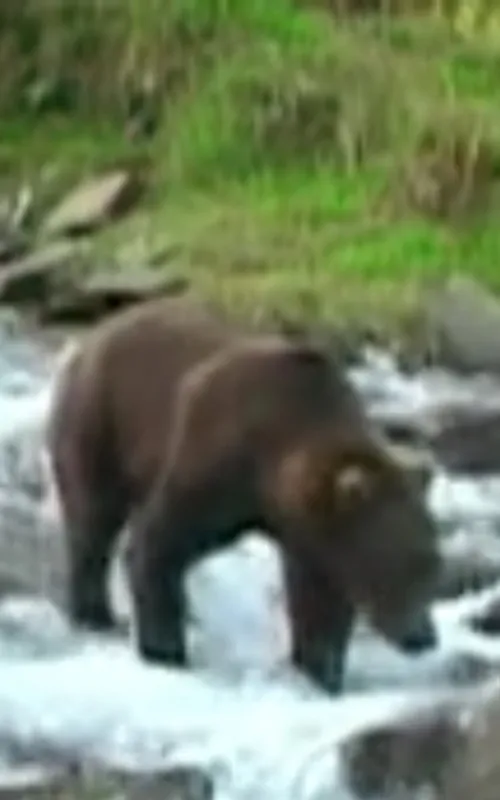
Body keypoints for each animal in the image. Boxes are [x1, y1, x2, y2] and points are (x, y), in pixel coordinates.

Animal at [47, 297, 442, 694]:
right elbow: (158, 542)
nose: (423, 637)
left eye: (432, 563)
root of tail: (96, 333)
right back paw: (95, 615)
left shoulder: (313, 537)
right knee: (92, 518)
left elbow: (318, 601)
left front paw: (321, 672)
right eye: (402, 562)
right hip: (100, 419)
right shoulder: (216, 462)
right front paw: (166, 652)